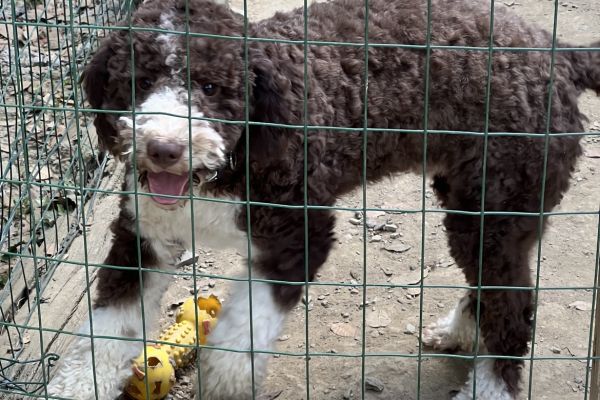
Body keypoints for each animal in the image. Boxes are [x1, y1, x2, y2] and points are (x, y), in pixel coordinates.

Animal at [48, 0, 600, 398]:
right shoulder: (143, 241)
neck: (224, 169)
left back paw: (487, 387)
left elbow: (241, 336)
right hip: (473, 204)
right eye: (139, 82)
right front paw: (75, 387)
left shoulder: (301, 235)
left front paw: (223, 381)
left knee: (513, 306)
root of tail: (558, 52)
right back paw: (460, 332)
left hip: (502, 205)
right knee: (494, 285)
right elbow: (106, 331)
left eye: (209, 86)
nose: (164, 149)